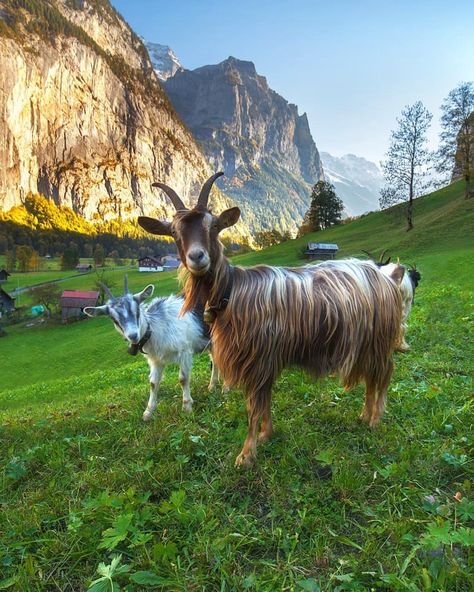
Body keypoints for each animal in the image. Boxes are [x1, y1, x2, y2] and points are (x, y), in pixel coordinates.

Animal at [84, 280, 219, 418]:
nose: (133, 336)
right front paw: (148, 412)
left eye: (137, 311)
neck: (156, 328)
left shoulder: (184, 351)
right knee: (215, 360)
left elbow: (183, 379)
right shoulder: (155, 360)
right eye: (114, 320)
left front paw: (187, 407)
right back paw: (212, 386)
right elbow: (153, 383)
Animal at [139, 172, 406, 468]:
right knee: (372, 377)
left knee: (383, 374)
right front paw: (266, 435)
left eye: (214, 226)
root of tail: (388, 277)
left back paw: (375, 419)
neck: (232, 293)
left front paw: (246, 454)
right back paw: (364, 415)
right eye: (174, 232)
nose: (197, 257)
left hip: (379, 340)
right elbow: (263, 401)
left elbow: (254, 407)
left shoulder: (259, 359)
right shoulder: (263, 361)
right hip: (366, 343)